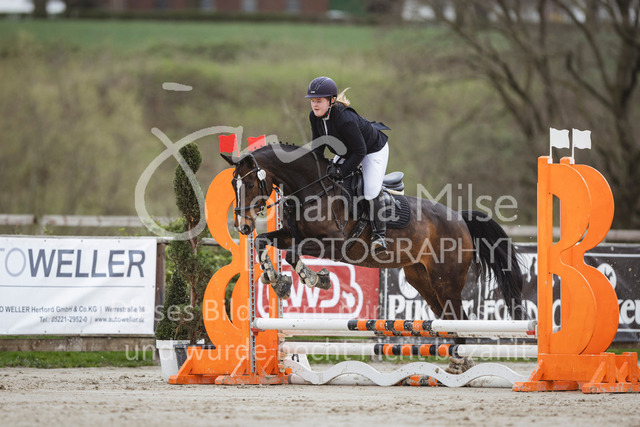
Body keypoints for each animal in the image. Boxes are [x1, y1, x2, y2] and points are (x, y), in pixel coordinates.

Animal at [221, 142, 524, 374]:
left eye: (250, 182)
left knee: (459, 316)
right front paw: (277, 280)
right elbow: (263, 241)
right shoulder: (289, 234)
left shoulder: (334, 243)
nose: (242, 226)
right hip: (423, 281)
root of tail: (460, 219)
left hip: (445, 281)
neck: (312, 191)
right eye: (233, 184)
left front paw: (315, 279)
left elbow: (293, 253)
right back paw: (459, 360)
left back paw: (461, 361)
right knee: (447, 319)